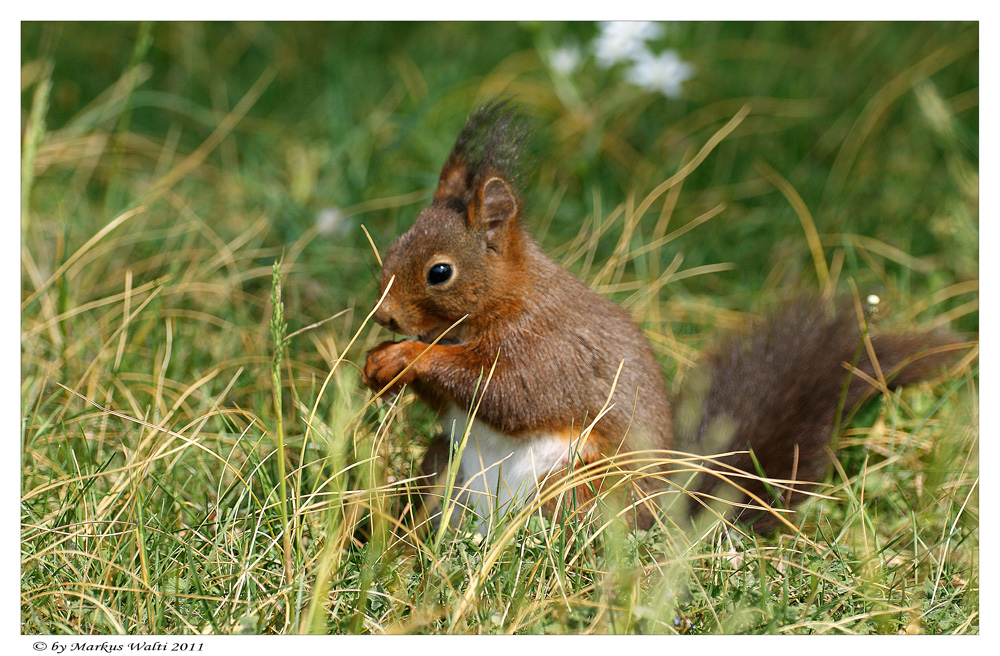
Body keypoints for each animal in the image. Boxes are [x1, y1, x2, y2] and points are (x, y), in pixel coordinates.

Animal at [362, 101, 960, 532]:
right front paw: (377, 363)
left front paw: (407, 356)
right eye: (394, 245)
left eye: (440, 272)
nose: (385, 317)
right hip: (444, 467)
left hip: (578, 484)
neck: (503, 299)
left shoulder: (553, 349)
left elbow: (513, 392)